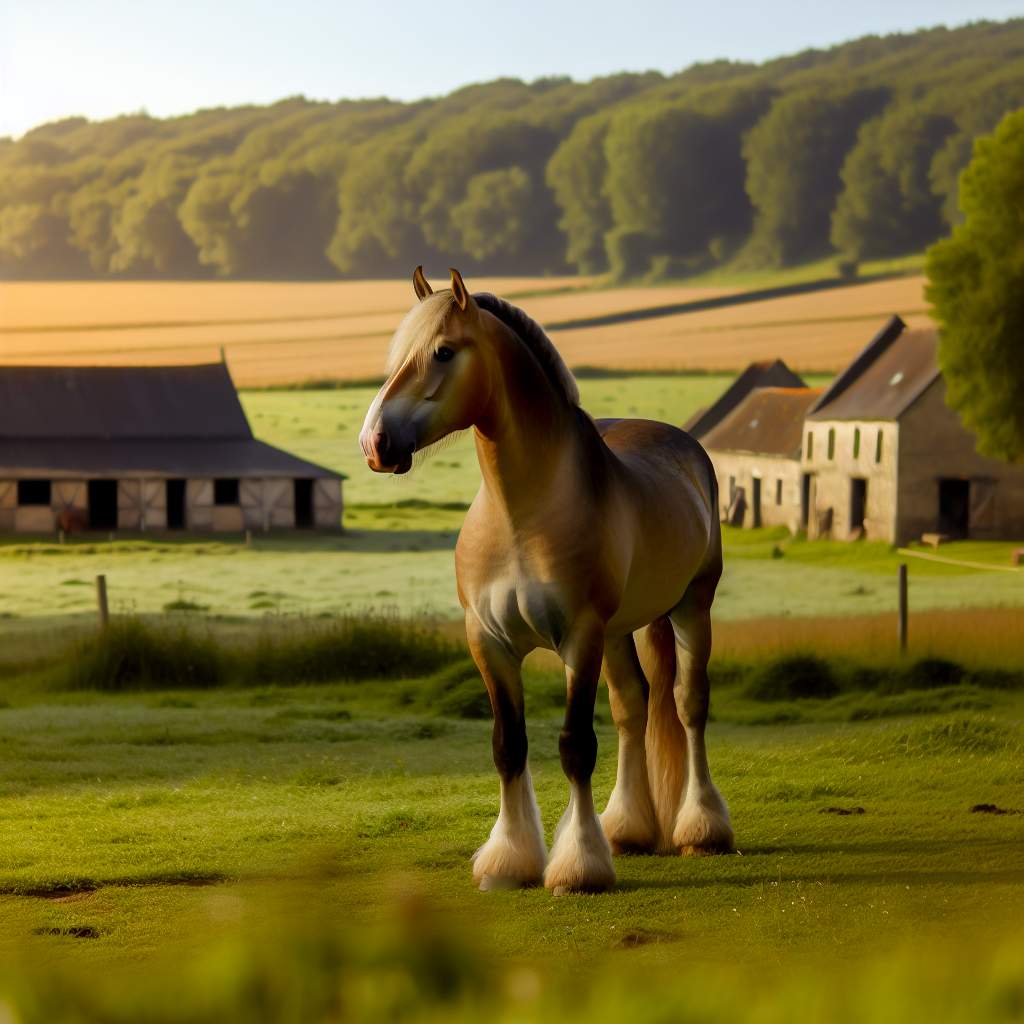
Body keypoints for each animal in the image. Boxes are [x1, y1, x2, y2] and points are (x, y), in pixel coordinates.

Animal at [356, 268, 733, 892]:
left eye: (443, 351)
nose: (375, 443)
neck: (519, 516)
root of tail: (684, 446)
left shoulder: (578, 638)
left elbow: (575, 745)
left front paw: (578, 866)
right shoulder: (489, 642)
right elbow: (509, 746)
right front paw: (509, 860)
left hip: (689, 609)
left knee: (688, 706)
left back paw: (702, 829)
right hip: (618, 633)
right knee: (633, 708)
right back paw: (627, 830)